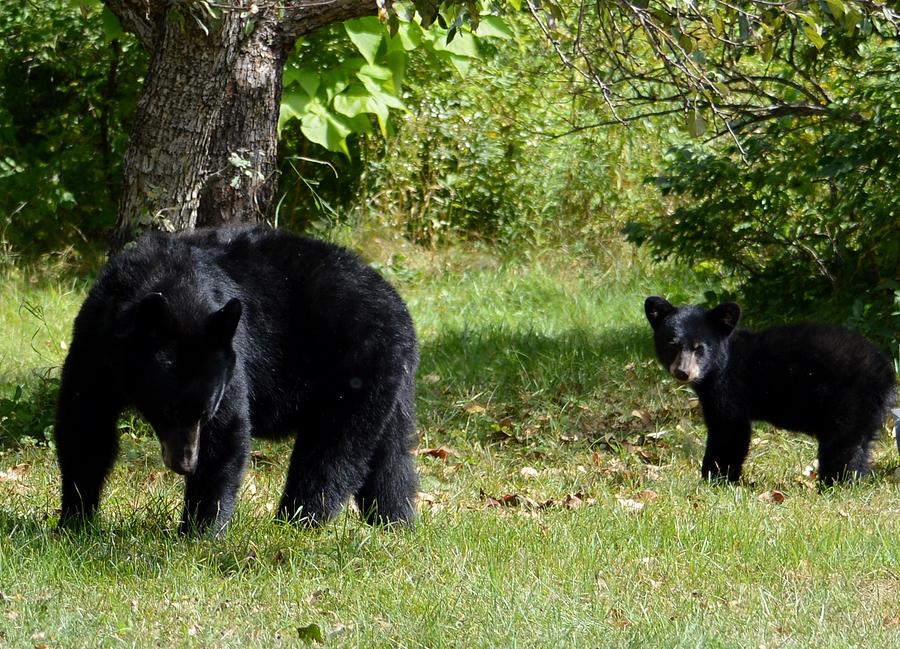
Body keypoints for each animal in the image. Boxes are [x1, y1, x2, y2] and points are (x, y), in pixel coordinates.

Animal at [54, 227, 420, 532]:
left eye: (204, 412)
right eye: (168, 410)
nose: (185, 463)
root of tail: (399, 308)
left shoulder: (230, 360)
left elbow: (226, 435)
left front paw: (199, 531)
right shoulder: (95, 343)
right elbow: (85, 423)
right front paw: (75, 519)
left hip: (355, 367)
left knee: (332, 449)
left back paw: (297, 521)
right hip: (388, 380)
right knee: (391, 454)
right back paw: (395, 520)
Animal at [644, 296, 896, 484]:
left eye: (699, 348)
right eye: (672, 345)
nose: (682, 372)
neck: (722, 363)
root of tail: (885, 372)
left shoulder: (730, 388)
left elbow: (729, 430)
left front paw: (714, 478)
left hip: (847, 401)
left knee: (843, 445)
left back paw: (832, 485)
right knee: (860, 447)